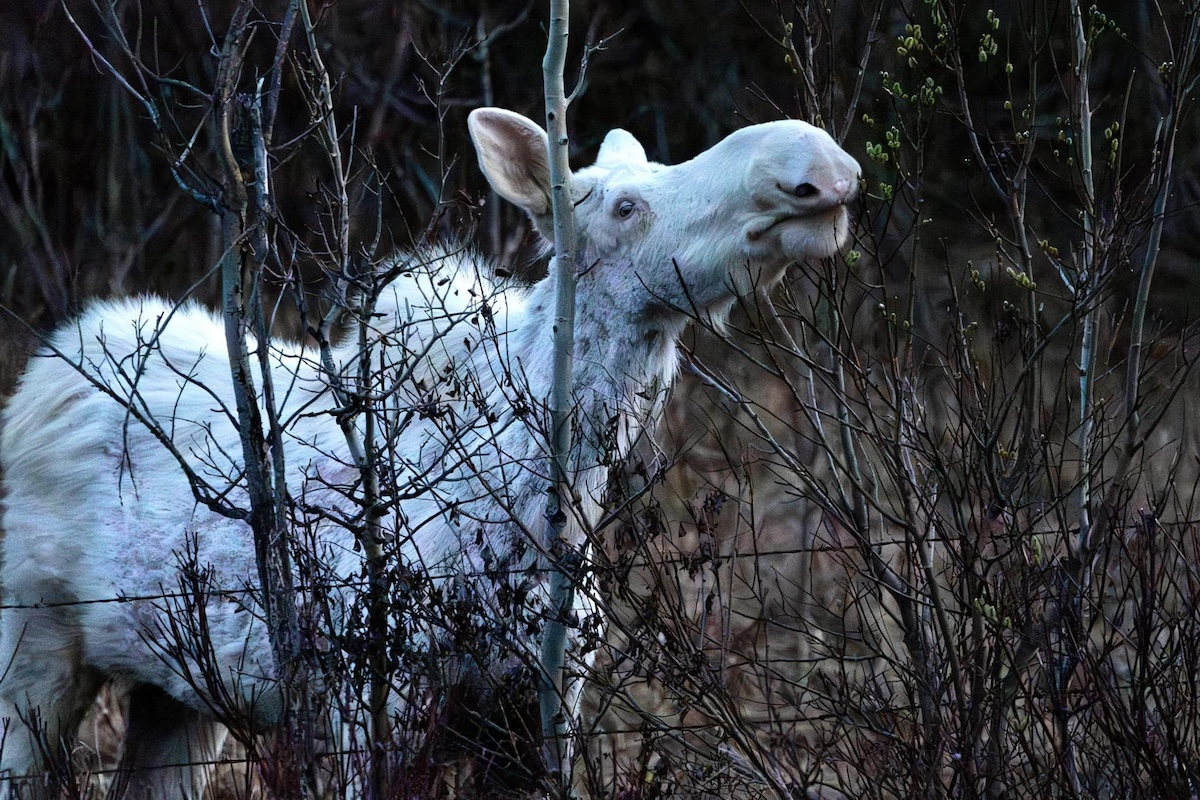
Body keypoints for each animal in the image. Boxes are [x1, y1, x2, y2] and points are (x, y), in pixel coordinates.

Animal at [0, 107, 859, 798]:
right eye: (624, 206)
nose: (818, 168)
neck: (542, 507)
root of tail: (40, 372)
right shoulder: (370, 701)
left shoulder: (538, 713)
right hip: (31, 655)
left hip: (180, 692)